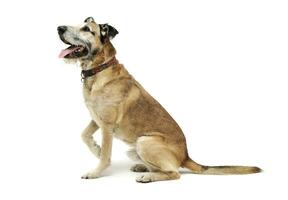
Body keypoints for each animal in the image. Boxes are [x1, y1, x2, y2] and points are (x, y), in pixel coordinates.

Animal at [57, 17, 262, 183]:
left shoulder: (106, 126)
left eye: (86, 29)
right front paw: (96, 149)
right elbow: (84, 135)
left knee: (174, 173)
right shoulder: (96, 118)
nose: (59, 28)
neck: (100, 69)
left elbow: (105, 156)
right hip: (135, 147)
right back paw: (142, 167)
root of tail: (185, 156)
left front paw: (96, 171)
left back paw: (148, 176)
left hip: (144, 142)